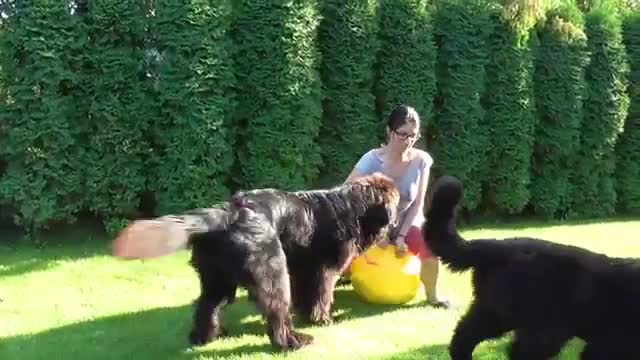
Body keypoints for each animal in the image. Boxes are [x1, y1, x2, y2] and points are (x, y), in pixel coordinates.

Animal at [112, 173, 398, 350]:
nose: (395, 223)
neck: (354, 208)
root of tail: (228, 211)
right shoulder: (323, 270)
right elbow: (321, 296)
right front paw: (322, 319)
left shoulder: (305, 270)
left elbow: (308, 296)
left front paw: (309, 314)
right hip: (272, 272)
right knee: (276, 311)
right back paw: (292, 341)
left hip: (217, 277)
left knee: (206, 306)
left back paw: (205, 337)